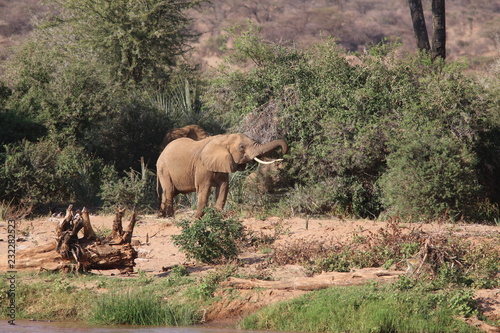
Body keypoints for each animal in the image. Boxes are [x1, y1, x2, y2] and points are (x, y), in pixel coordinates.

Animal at [156, 130, 290, 218]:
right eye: (241, 147)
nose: (283, 153)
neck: (224, 138)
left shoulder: (223, 162)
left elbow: (224, 187)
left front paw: (219, 215)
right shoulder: (201, 165)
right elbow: (204, 189)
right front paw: (197, 218)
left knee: (167, 192)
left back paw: (161, 215)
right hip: (164, 169)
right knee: (169, 190)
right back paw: (170, 216)